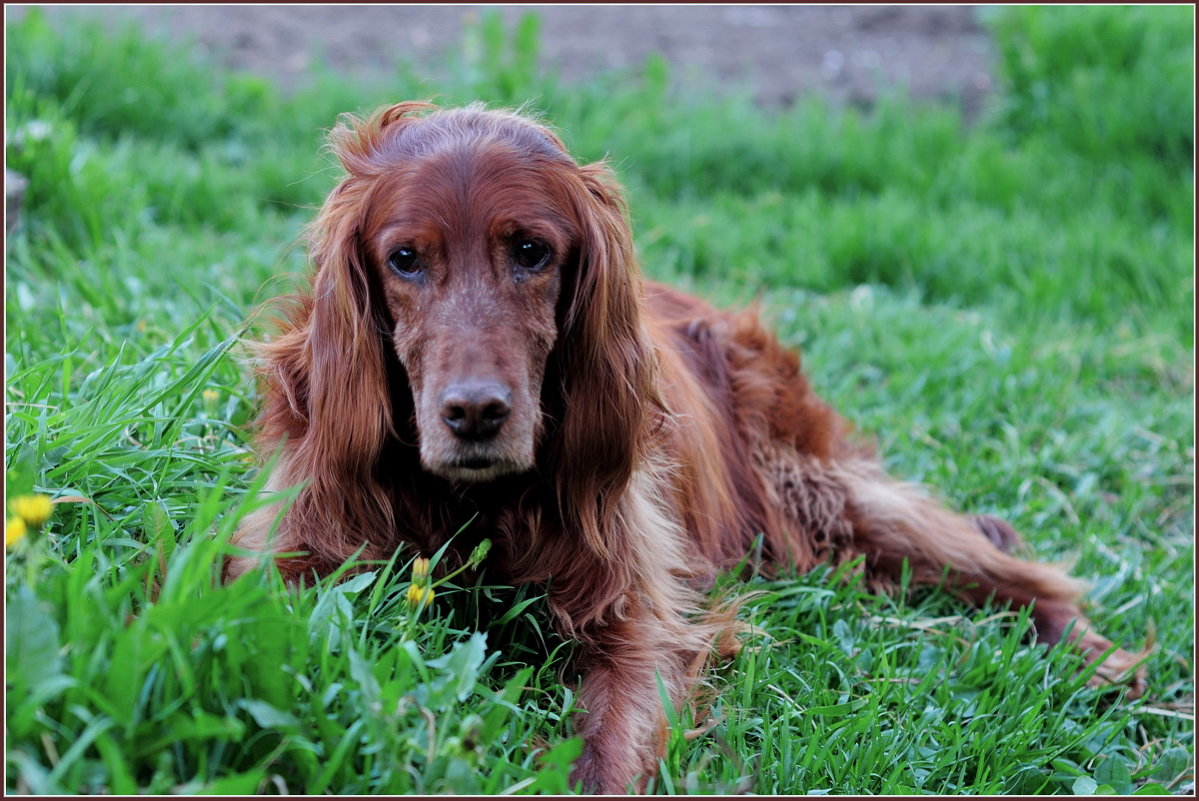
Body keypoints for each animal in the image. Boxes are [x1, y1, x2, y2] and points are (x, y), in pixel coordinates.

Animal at [226, 101, 1151, 796]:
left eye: (530, 250)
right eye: (405, 259)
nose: (475, 413)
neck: (475, 503)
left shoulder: (638, 624)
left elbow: (606, 750)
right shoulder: (289, 559)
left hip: (818, 491)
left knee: (1023, 574)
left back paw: (1100, 660)